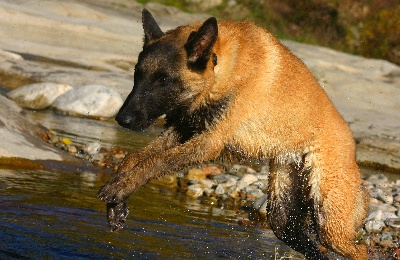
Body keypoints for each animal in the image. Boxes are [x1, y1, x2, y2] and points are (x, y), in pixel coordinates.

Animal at [98, 9, 370, 258]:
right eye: (137, 74)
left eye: (163, 80)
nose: (122, 119)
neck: (220, 64)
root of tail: (351, 143)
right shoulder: (186, 129)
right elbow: (134, 157)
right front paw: (117, 203)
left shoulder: (208, 142)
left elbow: (155, 161)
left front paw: (119, 189)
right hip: (283, 214)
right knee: (310, 244)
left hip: (328, 219)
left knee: (361, 249)